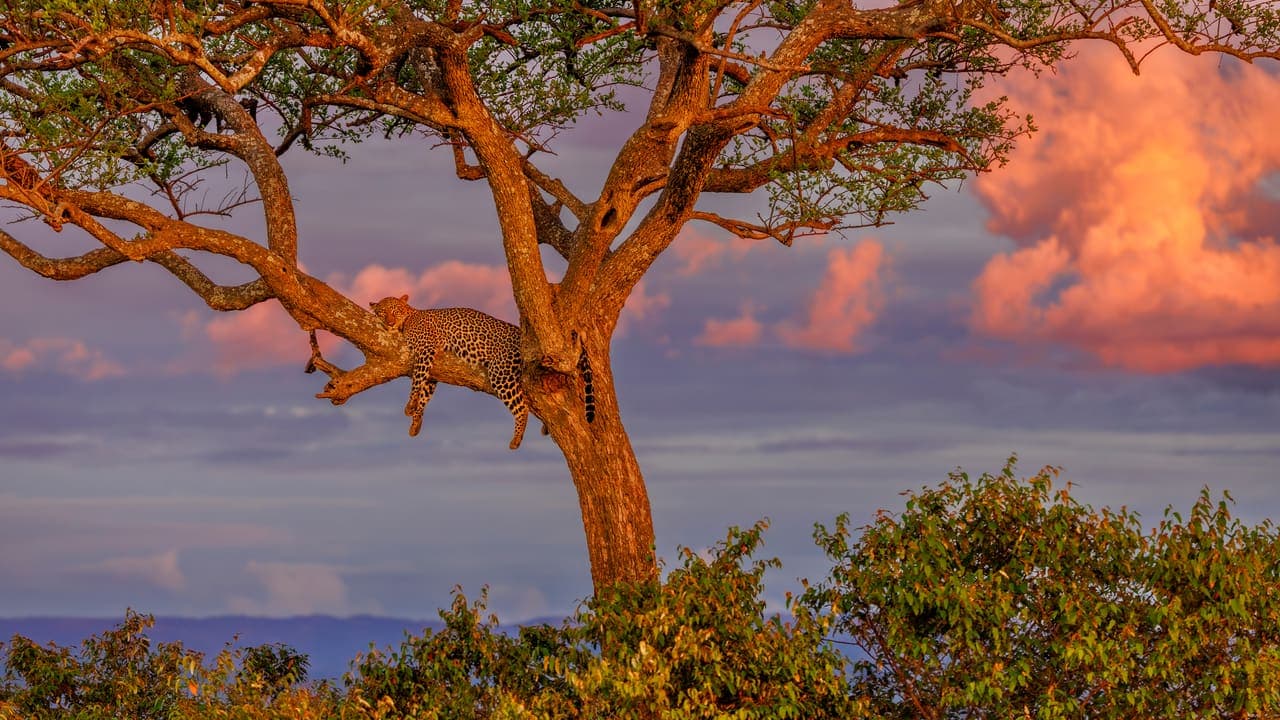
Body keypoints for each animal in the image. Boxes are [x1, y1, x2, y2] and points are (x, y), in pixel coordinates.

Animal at [369, 295, 595, 450]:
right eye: (382, 312)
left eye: (395, 310)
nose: (389, 322)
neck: (409, 317)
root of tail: (520, 334)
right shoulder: (434, 368)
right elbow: (425, 391)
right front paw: (416, 421)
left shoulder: (425, 351)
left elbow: (417, 381)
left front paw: (409, 406)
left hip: (501, 373)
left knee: (522, 408)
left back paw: (516, 440)